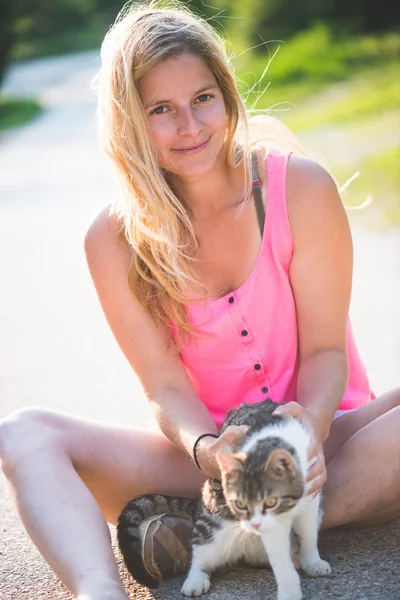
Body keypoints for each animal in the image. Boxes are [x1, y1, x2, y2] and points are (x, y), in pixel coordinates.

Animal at [116, 398, 332, 600]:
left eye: (270, 501)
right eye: (240, 504)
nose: (254, 524)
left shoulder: (311, 498)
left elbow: (308, 535)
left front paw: (311, 560)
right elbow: (279, 556)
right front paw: (289, 589)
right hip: (213, 526)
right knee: (201, 551)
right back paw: (195, 579)